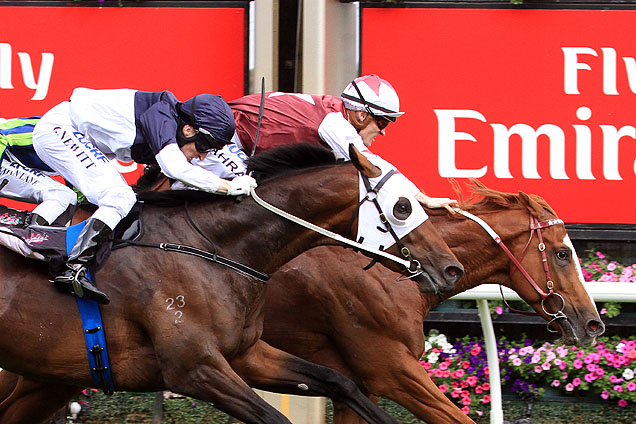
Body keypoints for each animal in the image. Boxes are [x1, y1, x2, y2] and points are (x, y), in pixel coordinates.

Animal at [0, 144, 462, 422]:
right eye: (402, 207)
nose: (451, 269)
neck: (215, 248)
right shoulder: (193, 368)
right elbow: (276, 416)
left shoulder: (246, 354)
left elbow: (340, 381)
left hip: (46, 376)